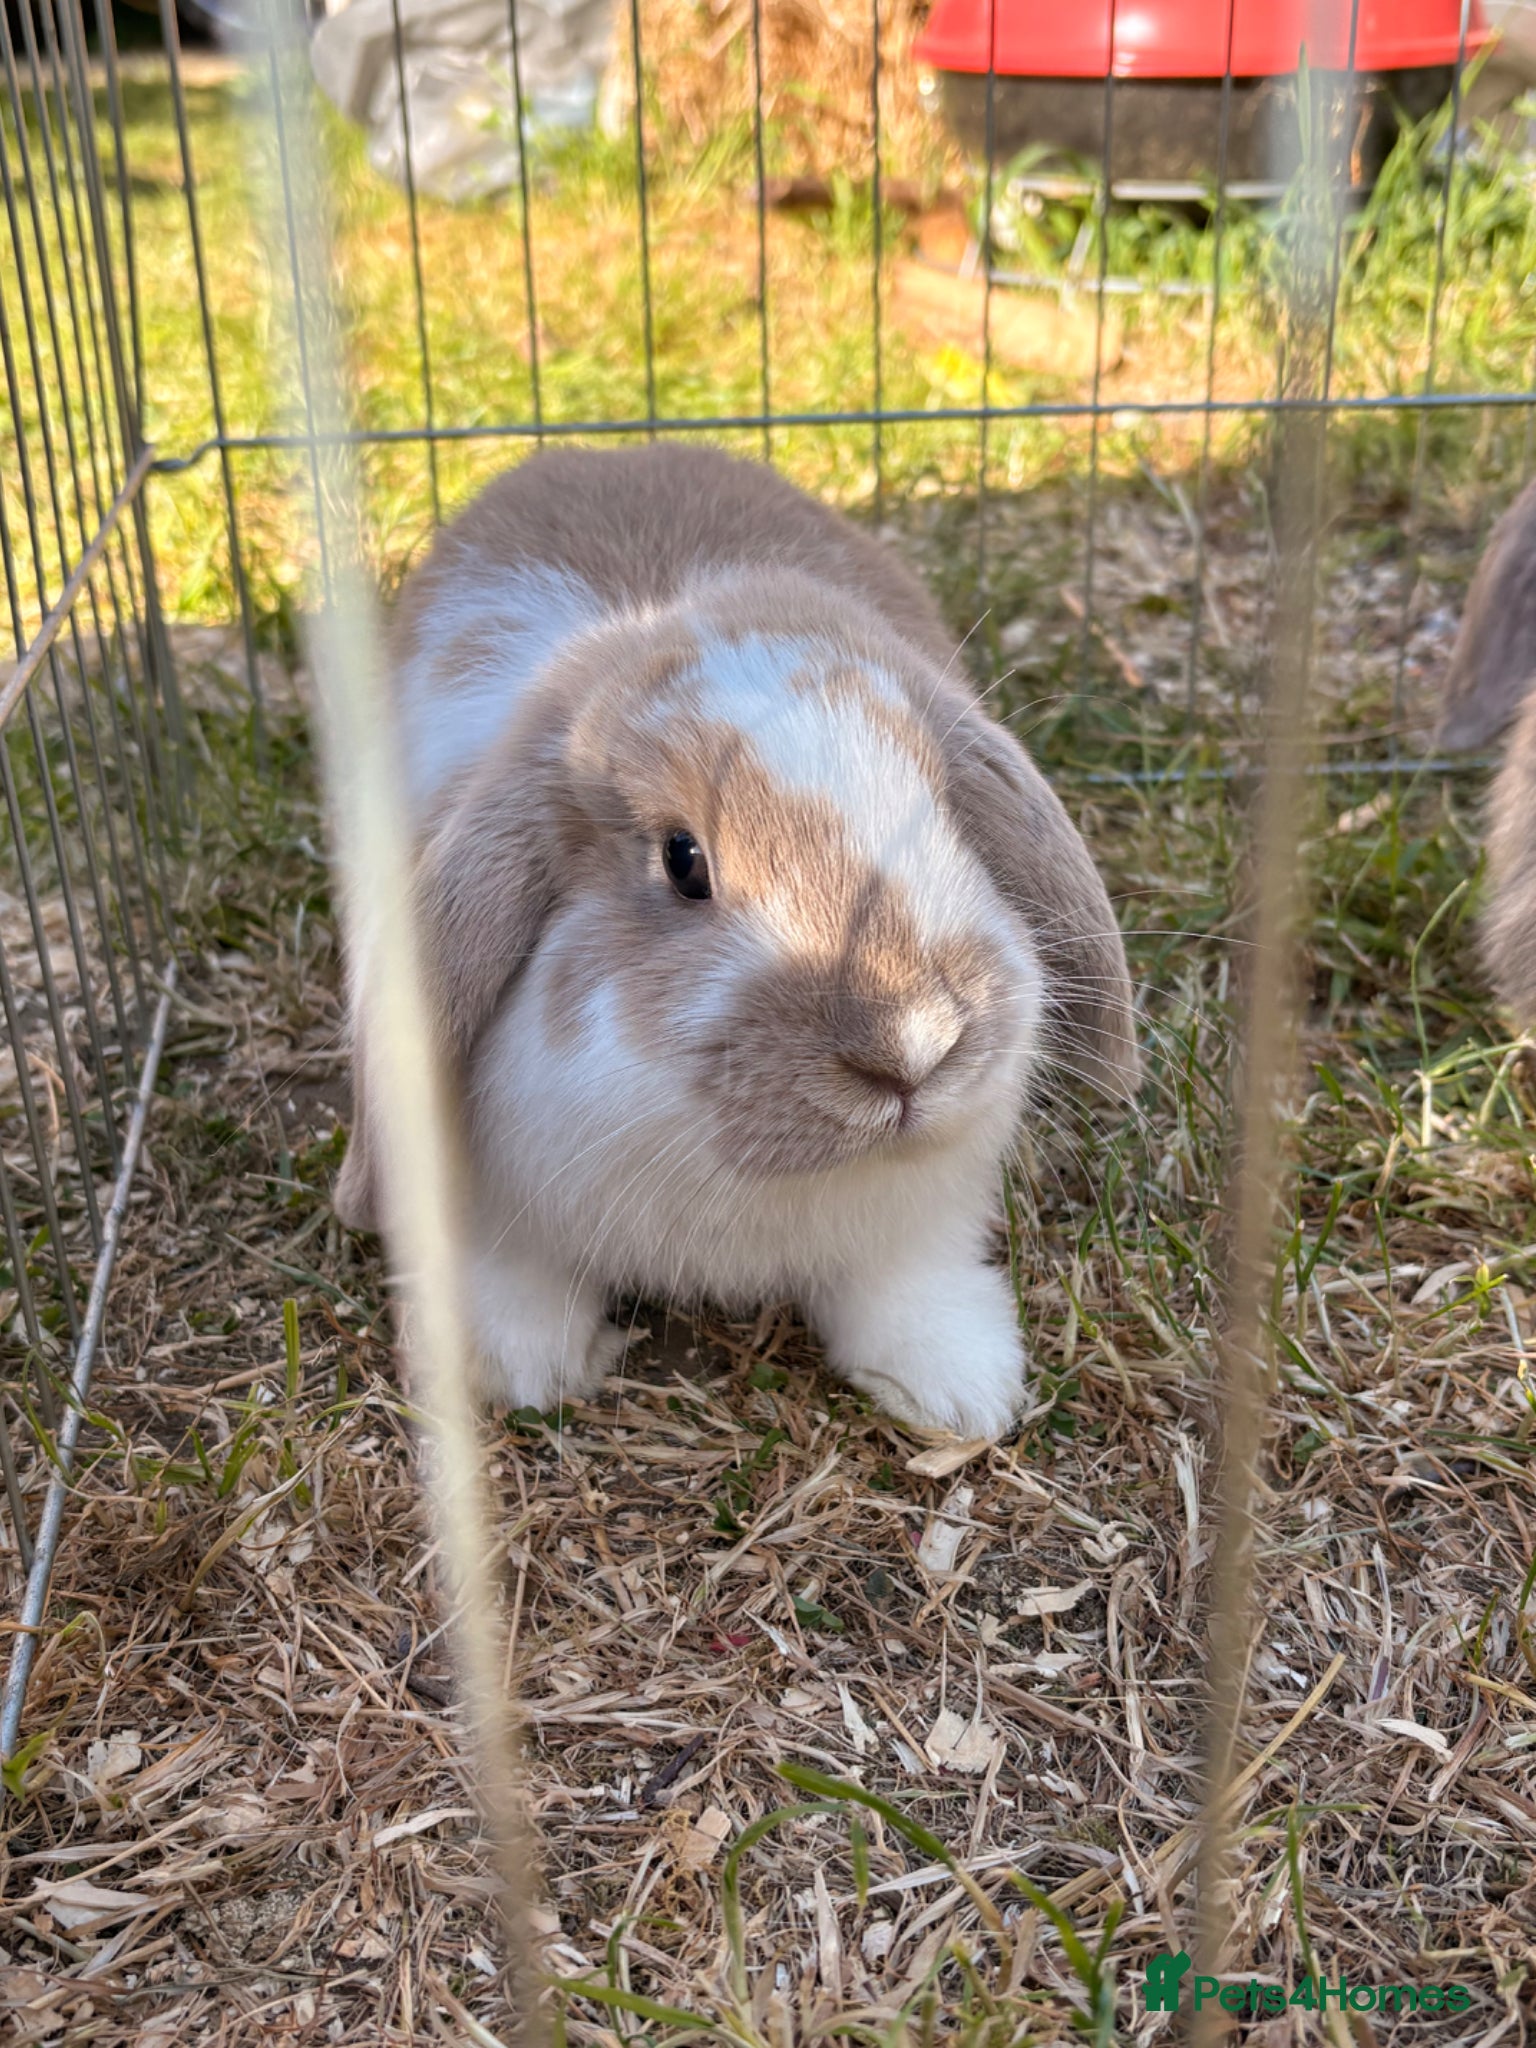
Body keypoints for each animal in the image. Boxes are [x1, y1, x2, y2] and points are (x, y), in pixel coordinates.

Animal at [335, 445, 1140, 1441]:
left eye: (944, 811)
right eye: (684, 861)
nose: (913, 1044)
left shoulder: (918, 1222)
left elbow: (904, 1286)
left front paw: (960, 1392)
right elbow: (517, 1283)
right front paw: (519, 1370)